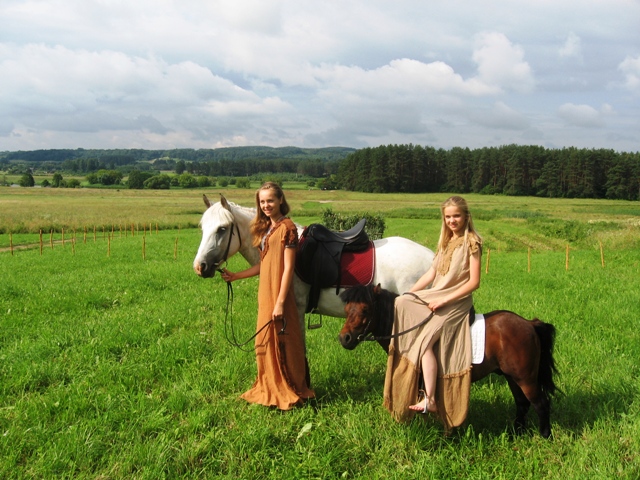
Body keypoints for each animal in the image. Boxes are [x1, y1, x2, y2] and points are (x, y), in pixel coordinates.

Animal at [338, 284, 556, 438]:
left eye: (365, 310)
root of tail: (529, 324)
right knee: (522, 404)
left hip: (526, 379)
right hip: (512, 377)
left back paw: (545, 436)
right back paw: (515, 434)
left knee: (541, 404)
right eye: (347, 310)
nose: (344, 338)